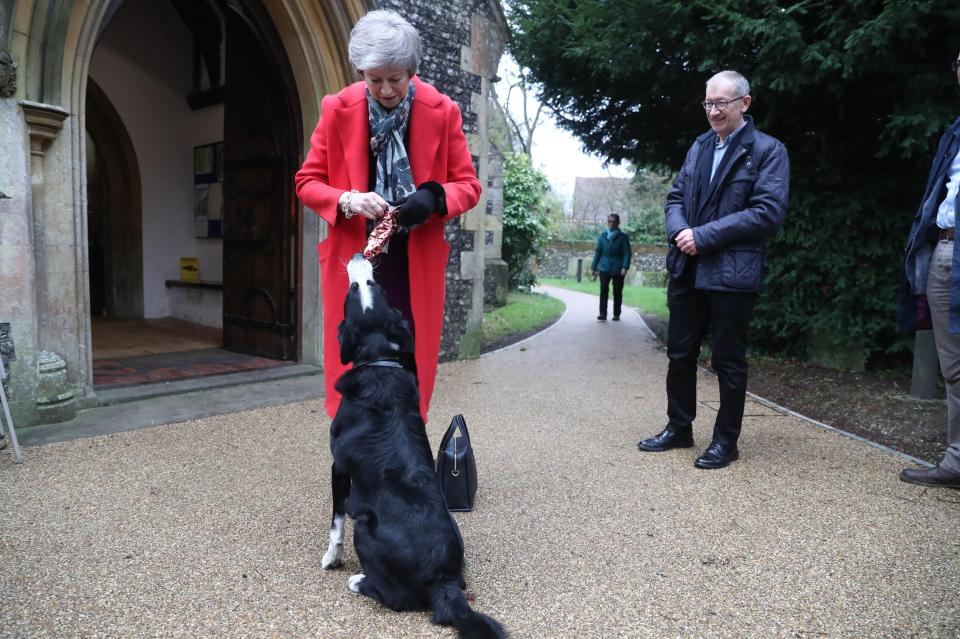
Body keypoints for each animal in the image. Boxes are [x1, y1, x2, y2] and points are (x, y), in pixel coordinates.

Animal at [322, 256, 506, 639]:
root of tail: (442, 581)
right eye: (373, 285)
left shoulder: (338, 467)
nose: (361, 258)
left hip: (367, 527)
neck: (378, 361)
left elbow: (336, 521)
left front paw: (332, 558)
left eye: (358, 288)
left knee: (396, 599)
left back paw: (359, 581)